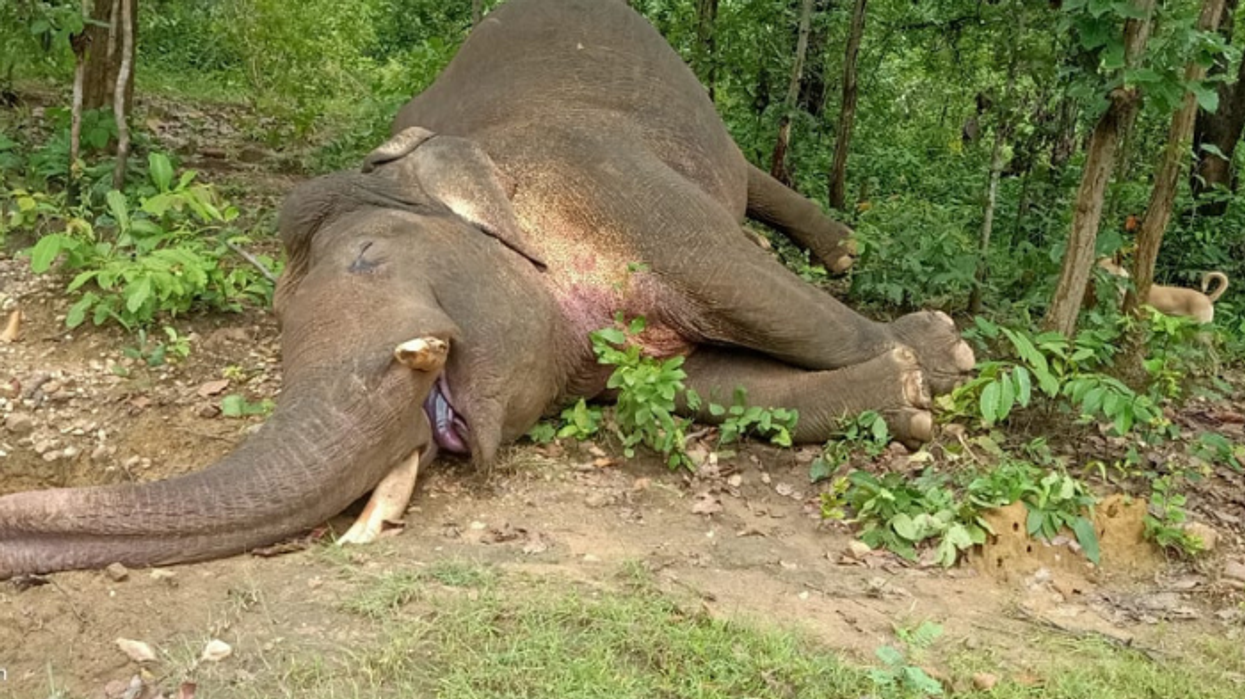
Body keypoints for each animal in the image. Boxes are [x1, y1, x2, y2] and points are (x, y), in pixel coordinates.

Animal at [0, 0, 974, 579]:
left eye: (367, 257)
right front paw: (907, 390)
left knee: (752, 181)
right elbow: (709, 383)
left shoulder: (607, 179)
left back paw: (845, 251)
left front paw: (941, 351)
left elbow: (759, 289)